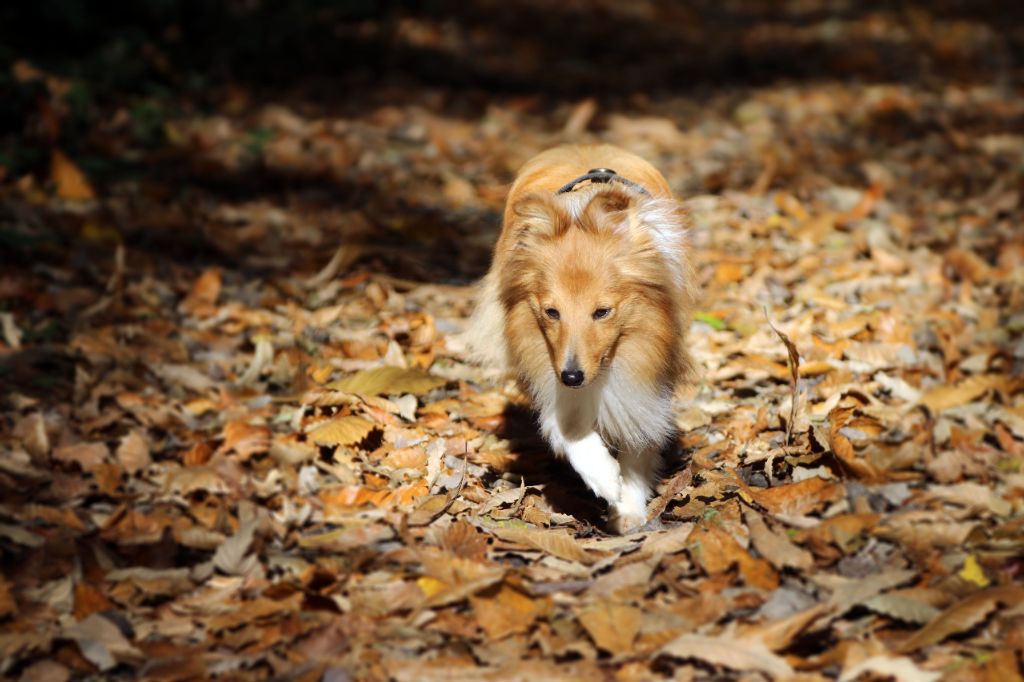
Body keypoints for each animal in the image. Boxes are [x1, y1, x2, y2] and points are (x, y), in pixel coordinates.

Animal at [468, 146, 696, 532]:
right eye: (551, 312)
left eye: (602, 312)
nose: (572, 376)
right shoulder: (549, 366)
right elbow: (566, 426)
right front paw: (605, 477)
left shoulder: (648, 368)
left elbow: (639, 431)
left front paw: (629, 505)